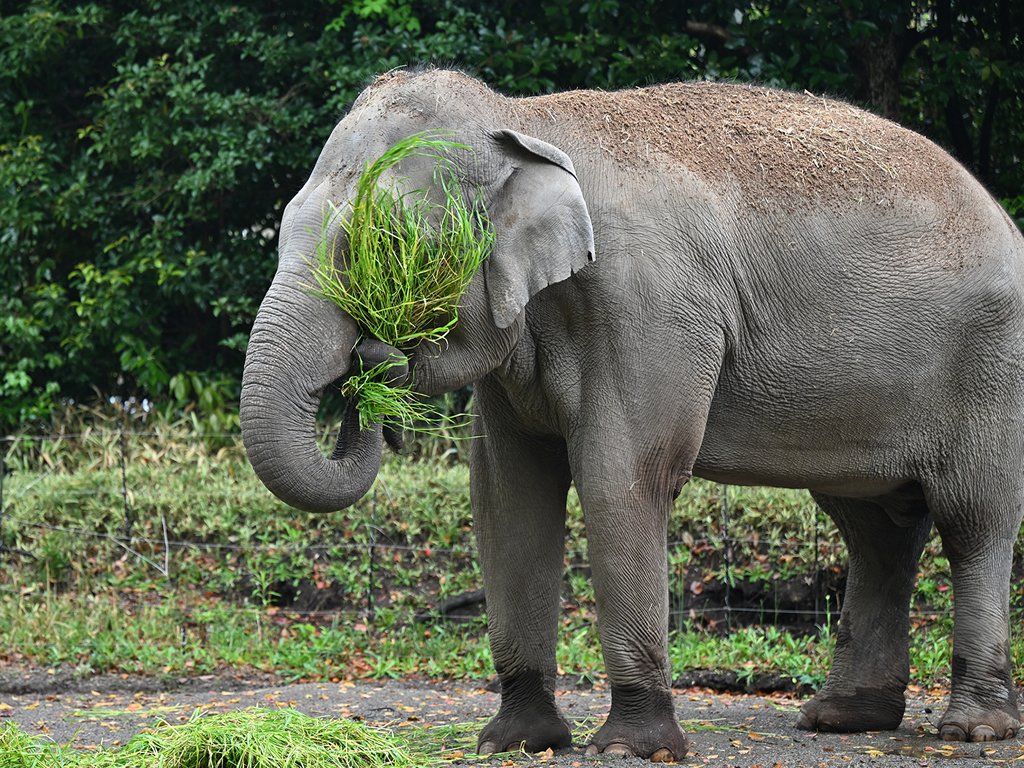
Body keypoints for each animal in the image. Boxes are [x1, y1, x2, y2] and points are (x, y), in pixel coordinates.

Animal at [241, 67, 1024, 765]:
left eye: (389, 246)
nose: (370, 361)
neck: (525, 119)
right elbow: (506, 496)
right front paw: (513, 742)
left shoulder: (648, 305)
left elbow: (622, 479)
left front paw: (630, 748)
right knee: (875, 527)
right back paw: (842, 719)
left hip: (993, 370)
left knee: (973, 520)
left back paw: (973, 730)